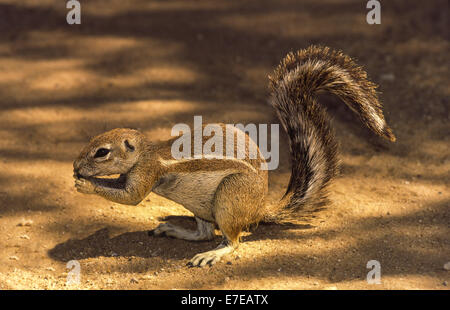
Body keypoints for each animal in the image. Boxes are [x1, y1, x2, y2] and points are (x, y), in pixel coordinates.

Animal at [72, 45, 396, 266]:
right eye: (91, 142)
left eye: (102, 152)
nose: (75, 166)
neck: (145, 152)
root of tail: (259, 210)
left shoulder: (147, 171)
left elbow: (131, 197)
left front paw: (84, 184)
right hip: (203, 205)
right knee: (205, 233)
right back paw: (176, 230)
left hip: (229, 197)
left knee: (233, 240)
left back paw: (212, 254)